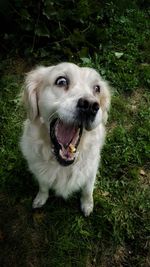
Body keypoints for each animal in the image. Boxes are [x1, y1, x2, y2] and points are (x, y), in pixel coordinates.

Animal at [19, 61, 110, 217]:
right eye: (61, 81)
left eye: (97, 88)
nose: (90, 105)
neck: (62, 165)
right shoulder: (39, 172)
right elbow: (43, 186)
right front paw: (40, 198)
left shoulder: (91, 170)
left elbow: (87, 190)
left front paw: (87, 204)